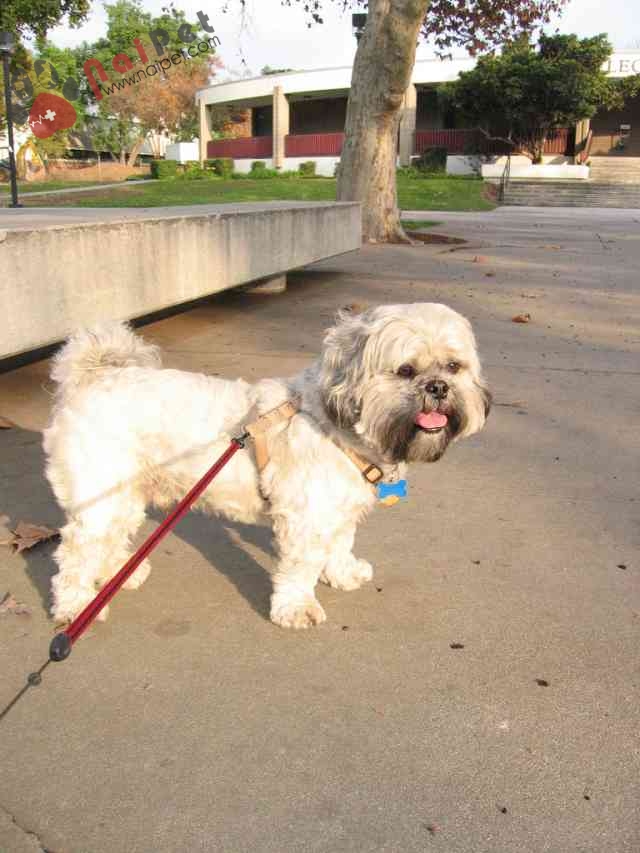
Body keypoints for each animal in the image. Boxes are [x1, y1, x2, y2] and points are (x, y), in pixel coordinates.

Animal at [43, 302, 490, 628]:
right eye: (405, 371)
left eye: (454, 366)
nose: (438, 387)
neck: (338, 427)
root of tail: (89, 379)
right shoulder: (306, 517)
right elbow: (301, 566)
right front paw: (296, 608)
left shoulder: (339, 510)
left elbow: (341, 544)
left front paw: (343, 573)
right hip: (100, 493)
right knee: (76, 552)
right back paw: (77, 605)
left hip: (125, 493)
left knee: (110, 538)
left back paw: (119, 576)